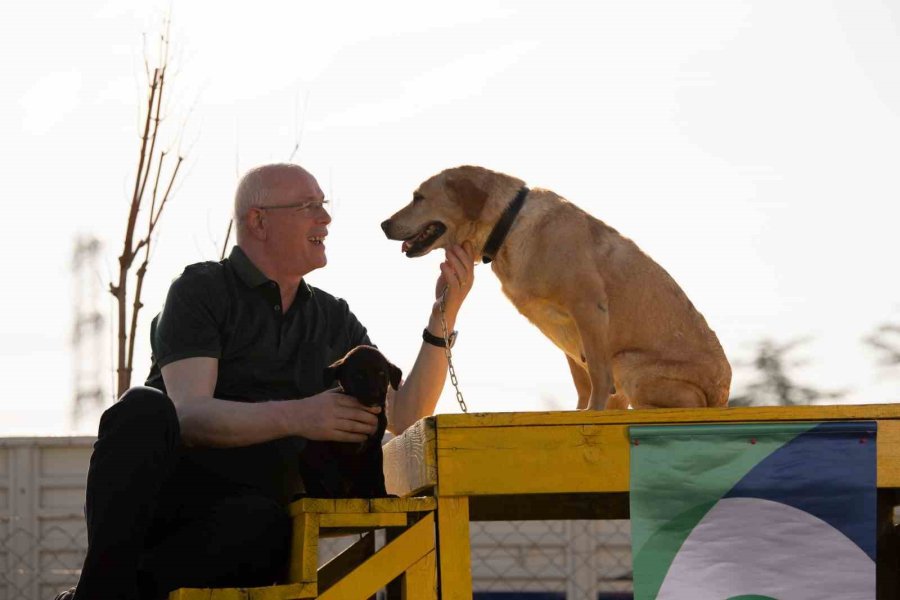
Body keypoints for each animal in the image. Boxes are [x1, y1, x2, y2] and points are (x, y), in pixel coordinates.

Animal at [298, 344, 400, 500]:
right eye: (358, 376)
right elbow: (334, 476)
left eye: (382, 373)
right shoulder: (330, 448)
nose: (375, 396)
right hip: (304, 460)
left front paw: (382, 496)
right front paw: (339, 497)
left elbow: (377, 475)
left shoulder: (375, 448)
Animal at [380, 164, 732, 410]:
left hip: (628, 362)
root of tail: (723, 395)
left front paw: (591, 415)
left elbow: (598, 379)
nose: (383, 224)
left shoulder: (588, 308)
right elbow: (584, 384)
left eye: (418, 197)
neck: (508, 225)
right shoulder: (568, 334)